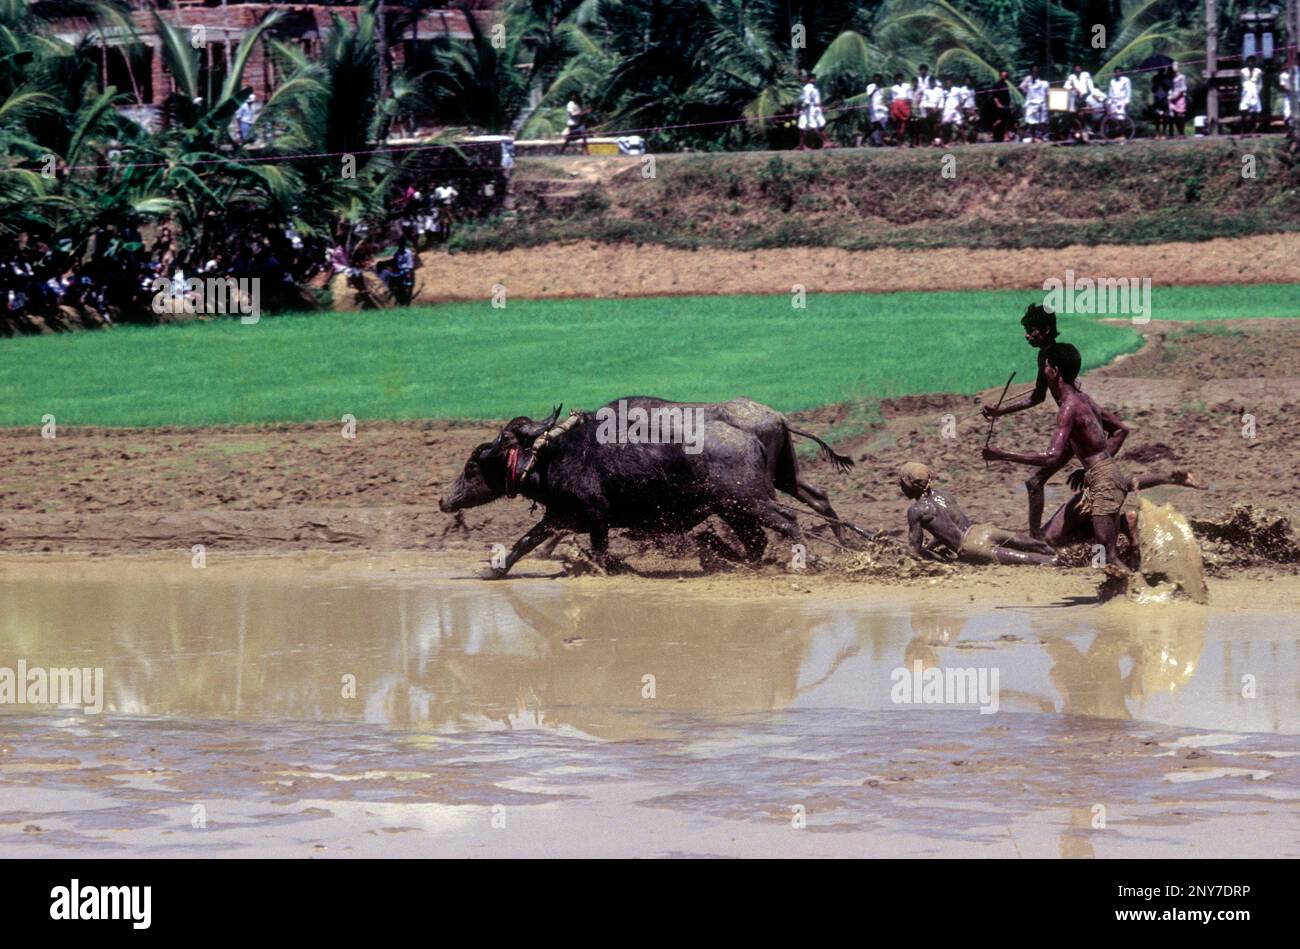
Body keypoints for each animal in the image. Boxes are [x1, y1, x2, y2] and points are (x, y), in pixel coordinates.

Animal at [441, 392, 857, 572]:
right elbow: (525, 542)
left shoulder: (593, 517)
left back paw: (804, 560)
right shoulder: (561, 515)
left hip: (752, 500)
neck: (553, 453)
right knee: (806, 506)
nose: (445, 501)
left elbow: (596, 550)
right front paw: (496, 568)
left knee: (789, 522)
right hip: (766, 490)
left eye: (473, 463)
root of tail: (772, 422)